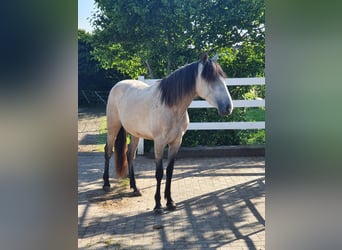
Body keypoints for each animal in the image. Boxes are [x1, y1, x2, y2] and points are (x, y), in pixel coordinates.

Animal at [103, 52, 234, 213]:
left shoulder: (176, 142)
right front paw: (158, 204)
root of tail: (118, 85)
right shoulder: (159, 143)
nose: (228, 107)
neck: (172, 107)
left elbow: (170, 171)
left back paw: (135, 188)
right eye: (209, 79)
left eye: (222, 78)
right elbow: (159, 173)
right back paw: (106, 184)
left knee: (130, 154)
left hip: (135, 133)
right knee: (108, 151)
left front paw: (170, 201)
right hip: (113, 128)